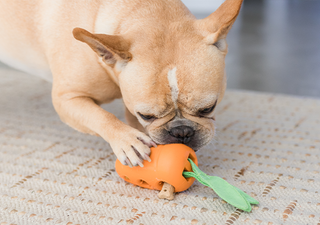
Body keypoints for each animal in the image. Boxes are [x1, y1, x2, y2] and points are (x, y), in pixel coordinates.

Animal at [0, 0, 241, 167]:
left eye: (208, 108)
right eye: (147, 115)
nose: (181, 132)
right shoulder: (67, 99)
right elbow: (100, 116)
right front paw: (127, 141)